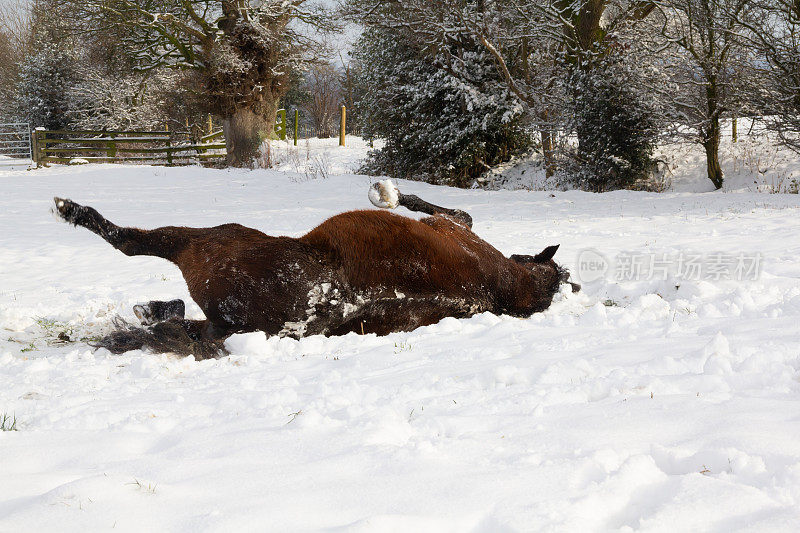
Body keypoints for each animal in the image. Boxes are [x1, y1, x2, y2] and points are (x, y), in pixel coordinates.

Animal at [51, 181, 576, 360]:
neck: (503, 286)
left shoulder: (453, 225)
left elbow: (451, 208)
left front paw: (387, 193)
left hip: (205, 240)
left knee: (131, 243)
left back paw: (72, 210)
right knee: (178, 314)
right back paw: (153, 308)